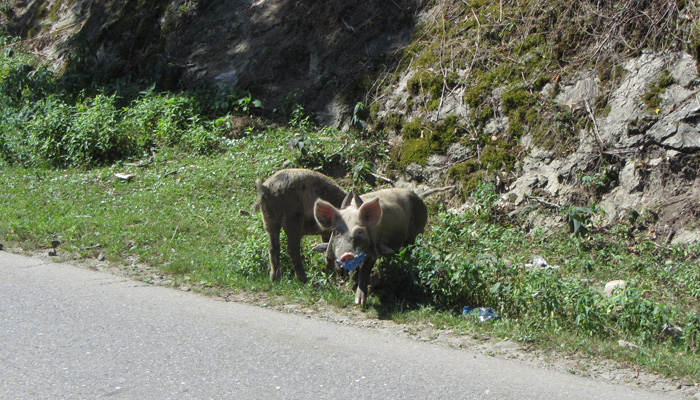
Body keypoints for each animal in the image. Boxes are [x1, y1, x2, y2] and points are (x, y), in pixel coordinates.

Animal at [313, 187, 441, 305]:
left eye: (360, 231)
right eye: (337, 231)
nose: (347, 254)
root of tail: (418, 196)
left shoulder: (373, 249)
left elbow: (364, 271)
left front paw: (360, 303)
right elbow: (353, 271)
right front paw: (349, 290)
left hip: (416, 233)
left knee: (411, 251)